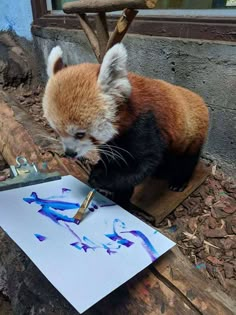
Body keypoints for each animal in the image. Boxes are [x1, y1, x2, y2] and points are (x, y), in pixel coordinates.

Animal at [42, 43, 208, 207]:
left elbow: (142, 164)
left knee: (187, 160)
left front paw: (102, 179)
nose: (70, 153)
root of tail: (199, 99)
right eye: (57, 131)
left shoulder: (145, 125)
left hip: (193, 134)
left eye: (80, 134)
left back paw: (179, 182)